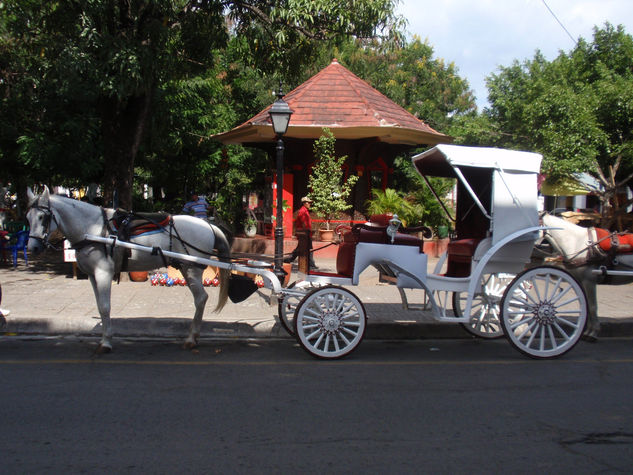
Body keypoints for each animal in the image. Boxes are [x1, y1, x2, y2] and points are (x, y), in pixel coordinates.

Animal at [27, 188, 231, 352]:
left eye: (43, 217)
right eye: (28, 218)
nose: (33, 248)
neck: (93, 229)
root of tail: (208, 225)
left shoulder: (103, 273)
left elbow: (105, 306)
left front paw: (106, 343)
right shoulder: (92, 275)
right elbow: (100, 307)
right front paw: (104, 338)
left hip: (191, 269)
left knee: (201, 298)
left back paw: (191, 338)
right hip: (185, 268)